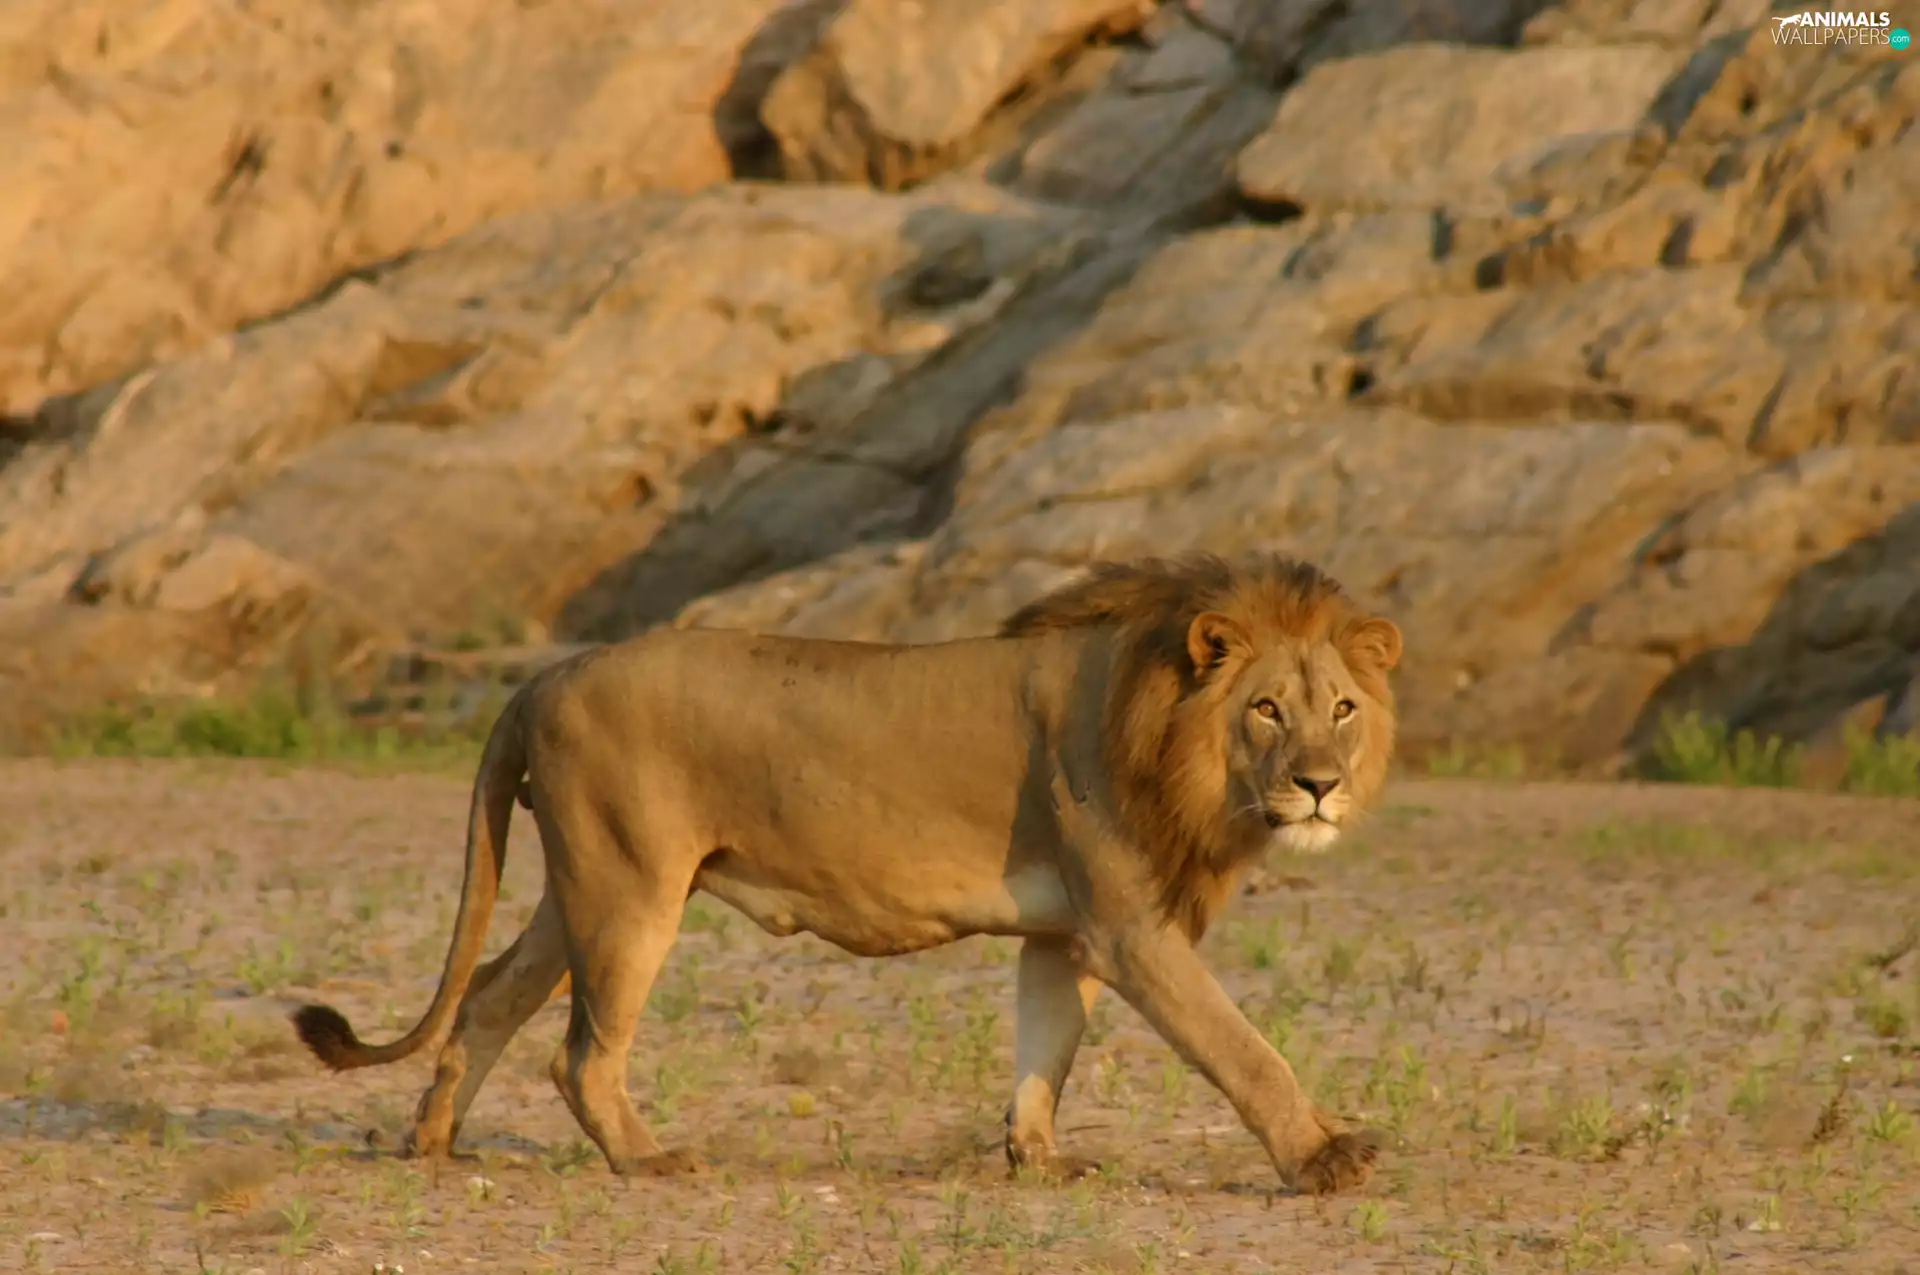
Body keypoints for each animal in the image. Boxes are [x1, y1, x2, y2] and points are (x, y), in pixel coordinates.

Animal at [290, 551, 1403, 1194]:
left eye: (1343, 709)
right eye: (1267, 709)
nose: (1320, 785)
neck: (1172, 732)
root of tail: (540, 676)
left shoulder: (1067, 930)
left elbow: (1047, 1044)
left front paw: (1038, 1159)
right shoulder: (1131, 927)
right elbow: (1243, 1047)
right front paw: (1323, 1156)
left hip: (586, 890)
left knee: (487, 996)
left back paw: (434, 1143)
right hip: (628, 891)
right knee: (579, 1052)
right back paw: (646, 1159)